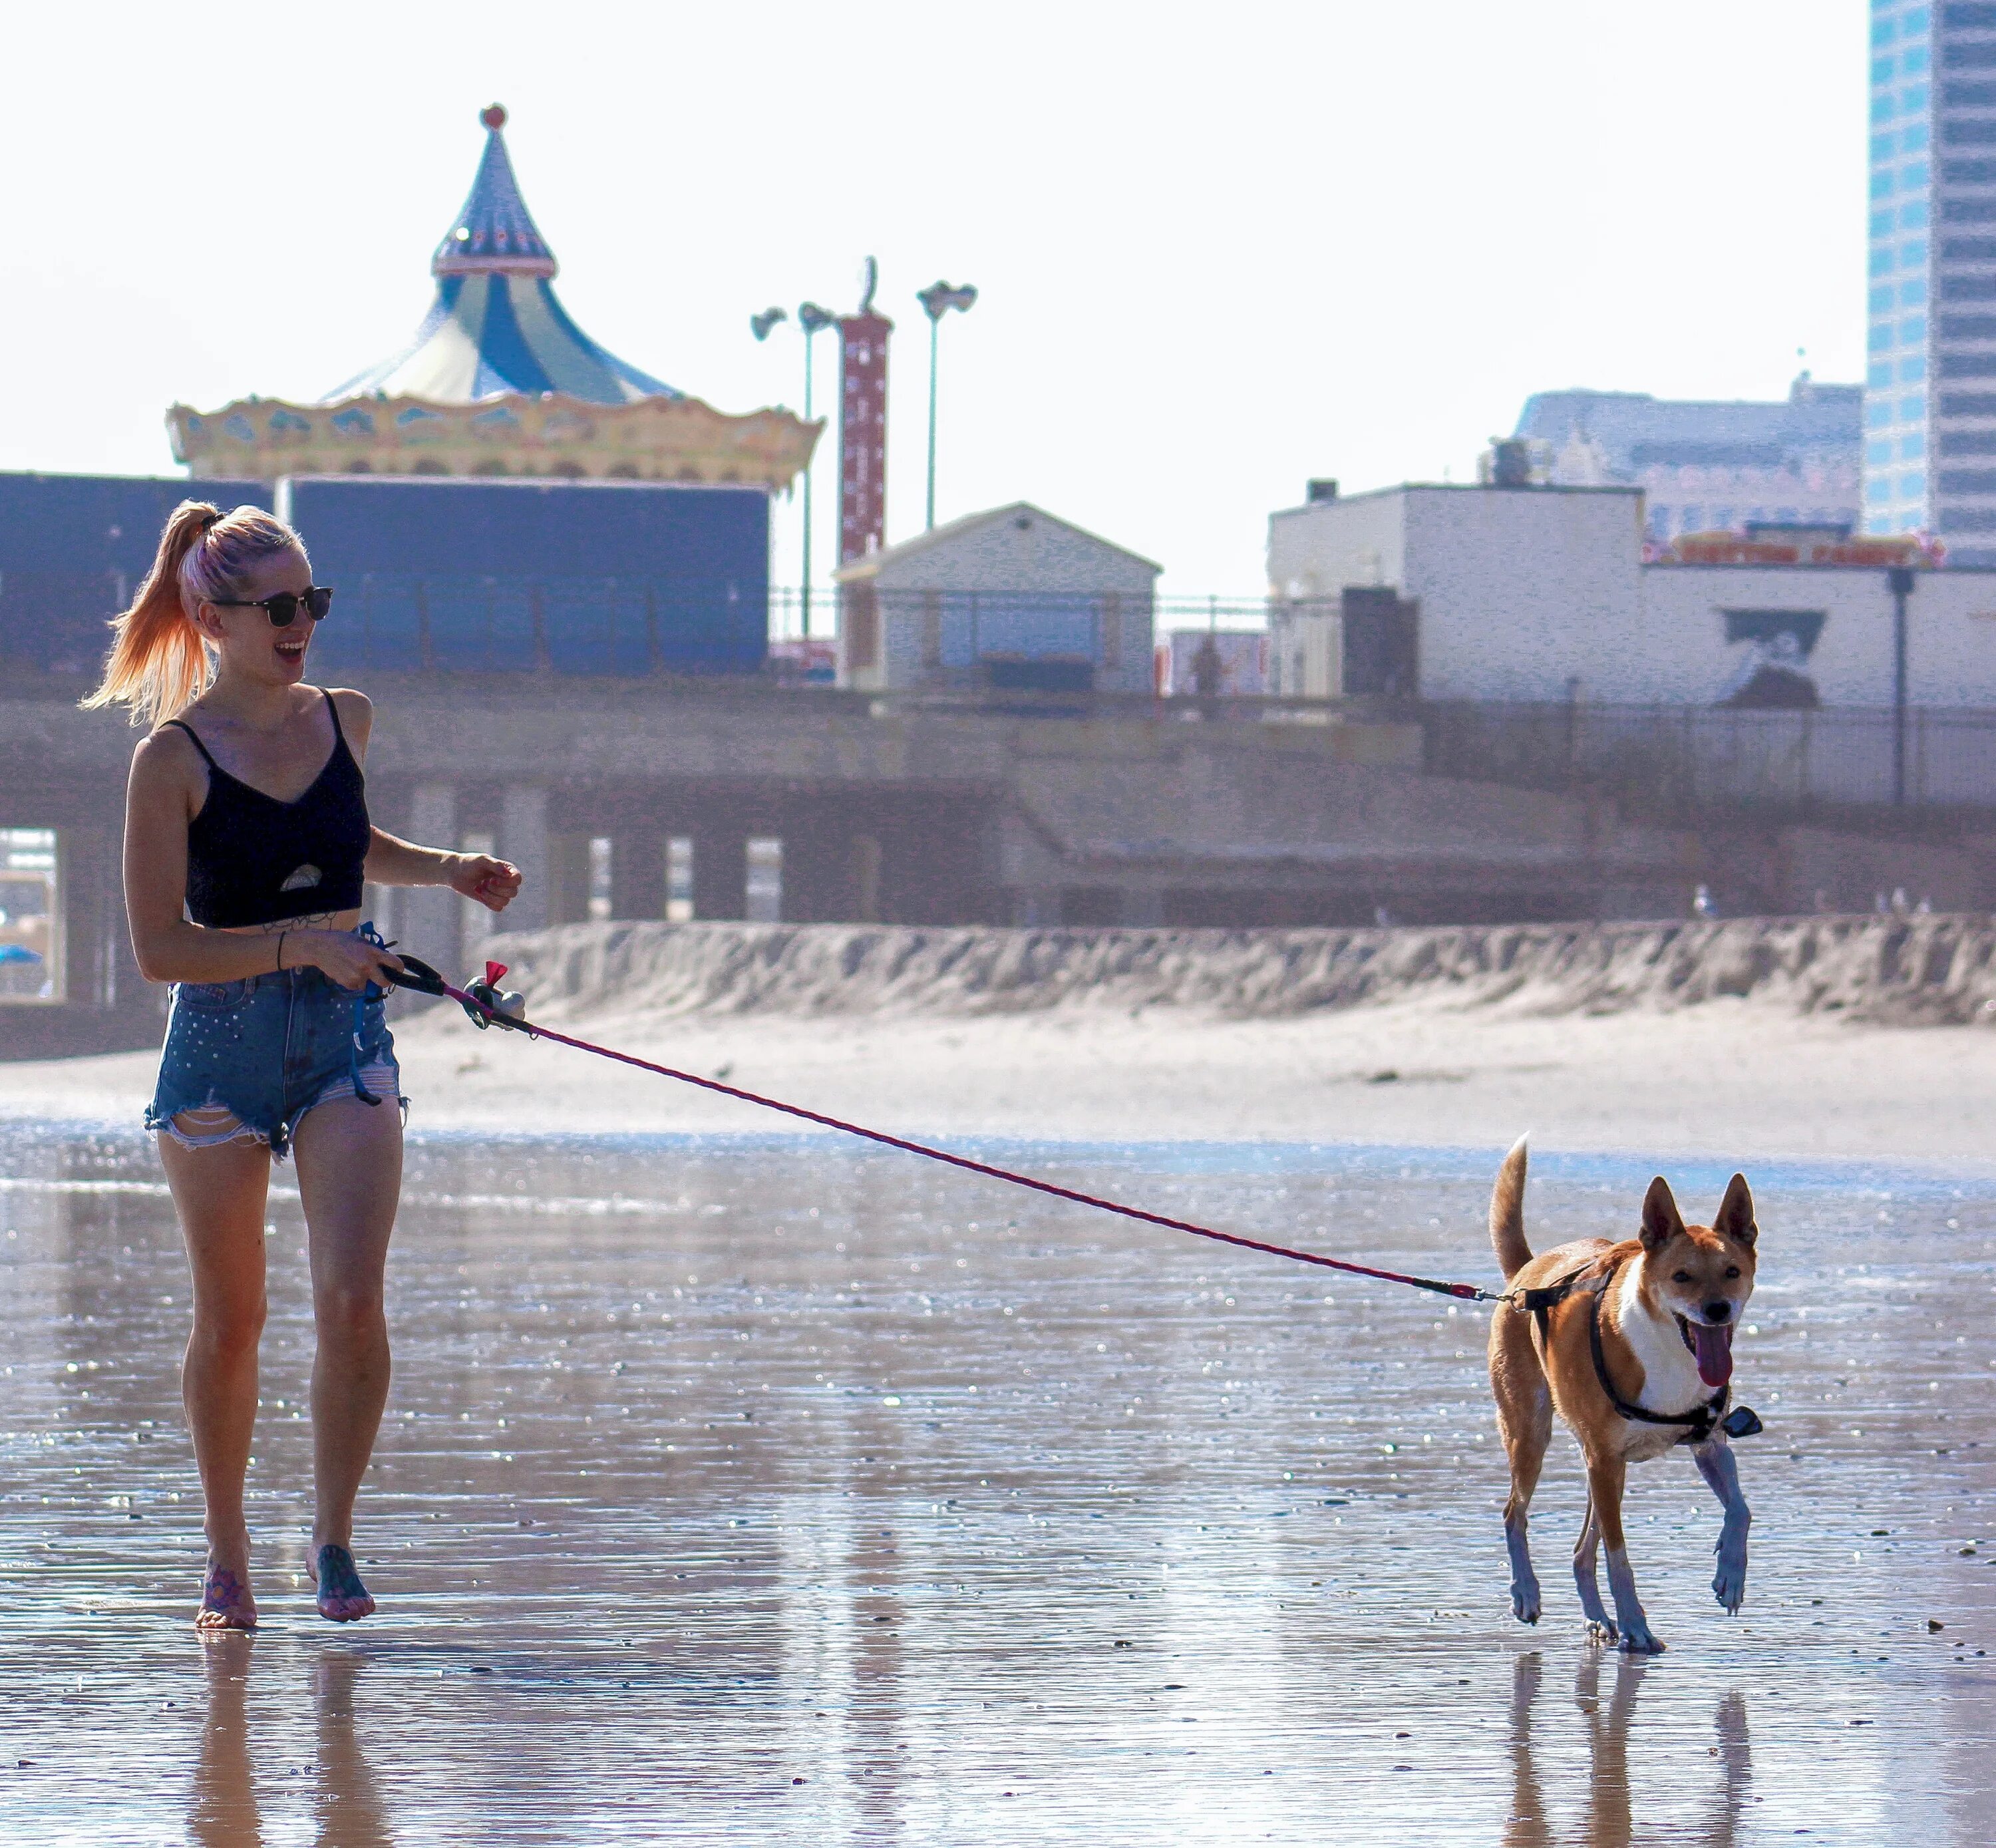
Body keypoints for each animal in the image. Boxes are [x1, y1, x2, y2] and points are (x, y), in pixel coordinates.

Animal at [1493, 1134, 1756, 1660]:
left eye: (1733, 1271)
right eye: (1681, 1277)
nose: (1717, 1311)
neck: (1669, 1351)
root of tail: (1524, 1275)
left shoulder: (1709, 1444)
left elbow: (1741, 1509)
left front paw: (1730, 1577)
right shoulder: (1605, 1459)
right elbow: (1619, 1558)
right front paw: (1638, 1626)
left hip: (1602, 1469)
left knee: (1580, 1552)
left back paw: (1597, 1619)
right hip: (1536, 1435)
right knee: (1515, 1513)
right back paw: (1527, 1593)